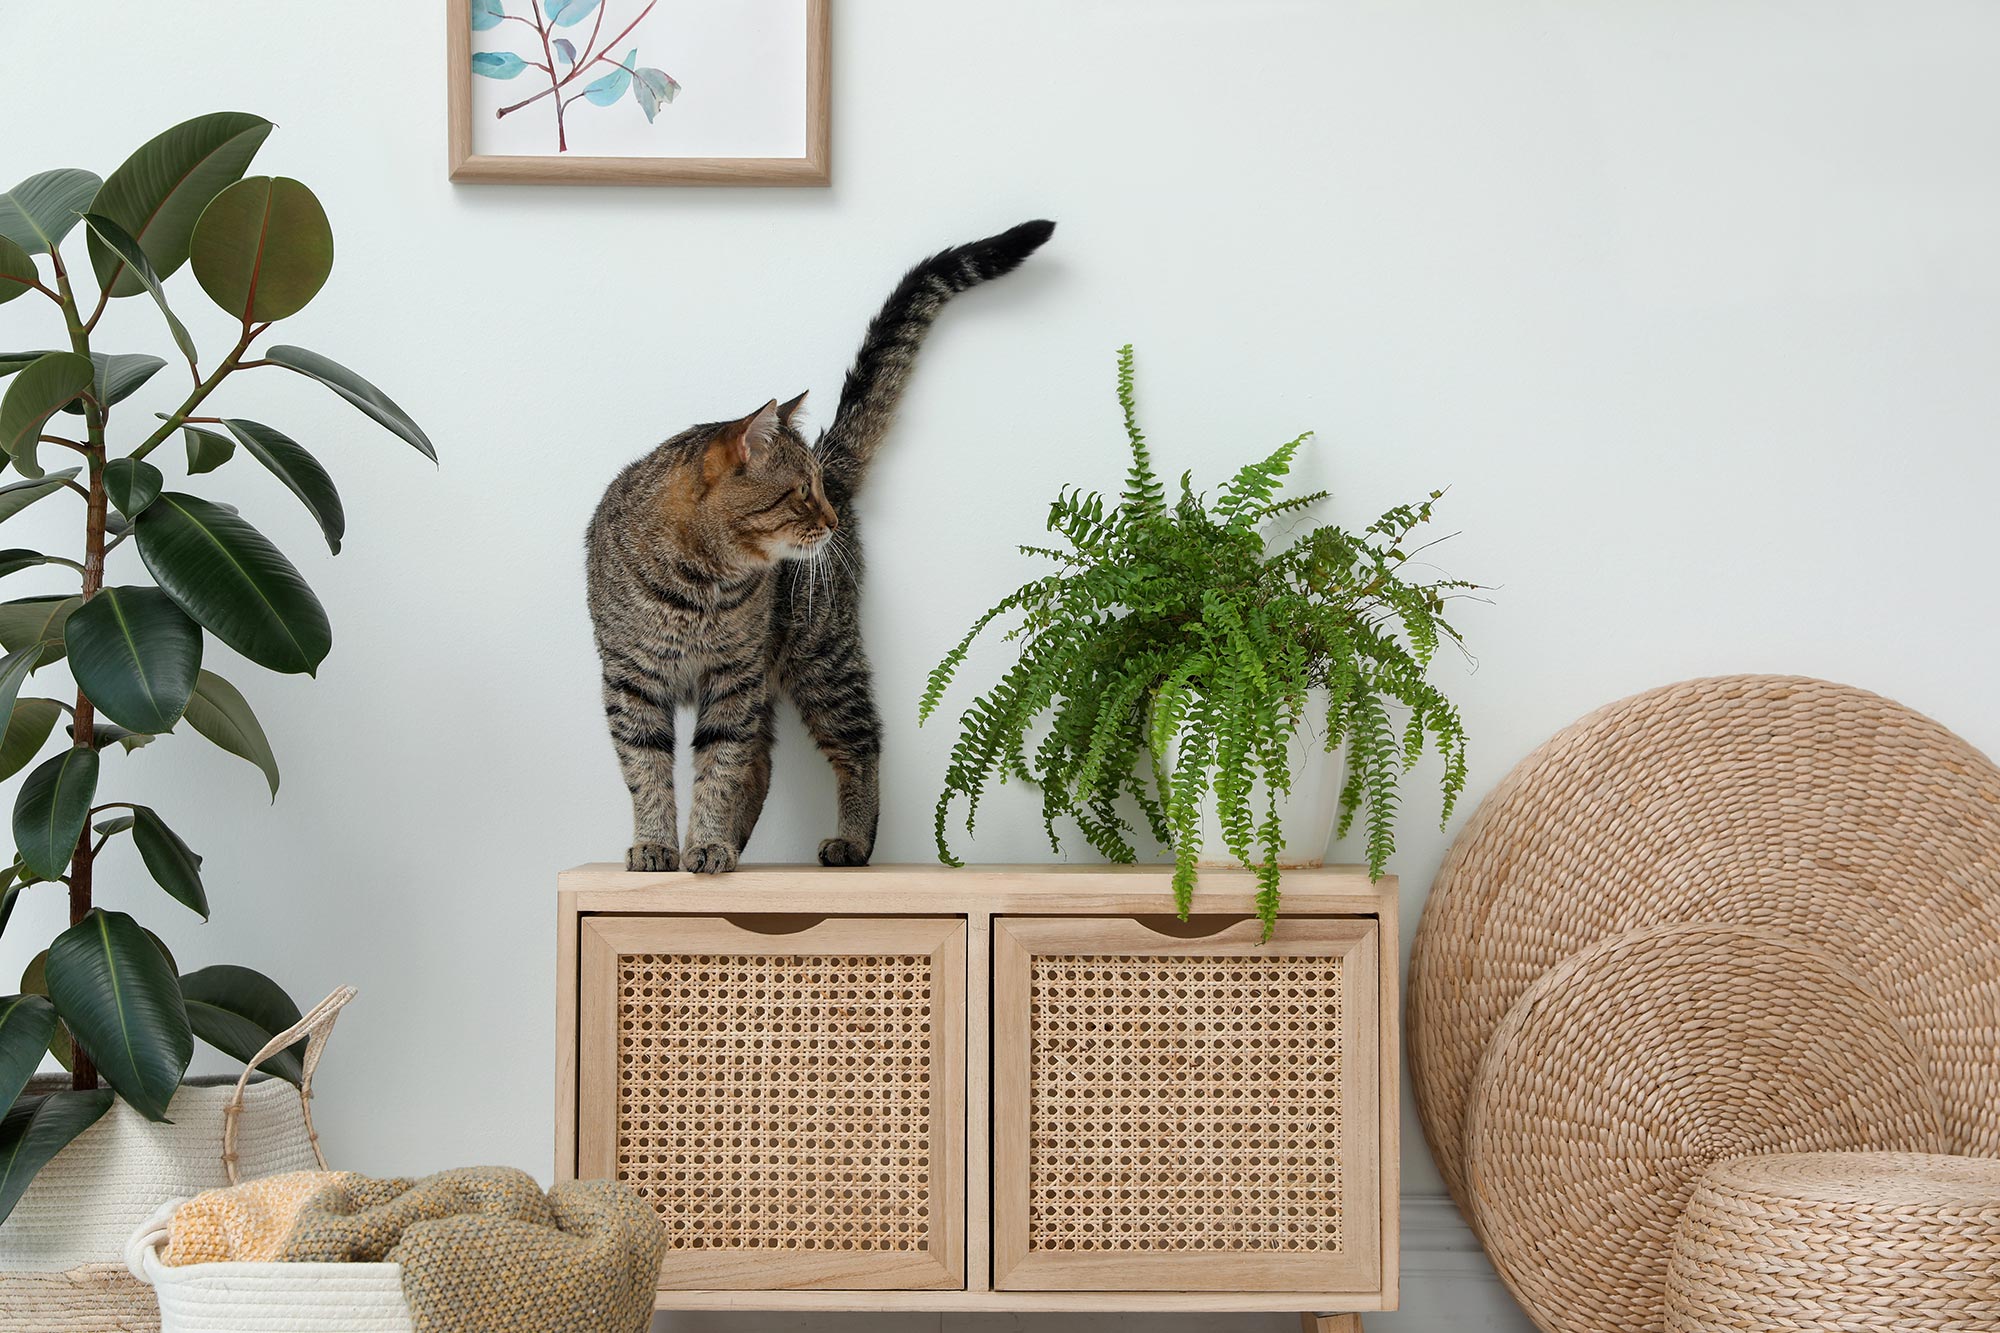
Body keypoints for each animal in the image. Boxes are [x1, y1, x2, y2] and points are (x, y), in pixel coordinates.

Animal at [584, 219, 1056, 872]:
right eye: (801, 493)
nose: (827, 514)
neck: (702, 584)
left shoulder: (732, 680)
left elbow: (717, 768)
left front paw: (704, 841)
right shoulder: (631, 682)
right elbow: (648, 771)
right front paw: (658, 845)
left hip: (820, 656)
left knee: (859, 741)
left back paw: (850, 840)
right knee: (761, 762)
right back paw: (738, 845)